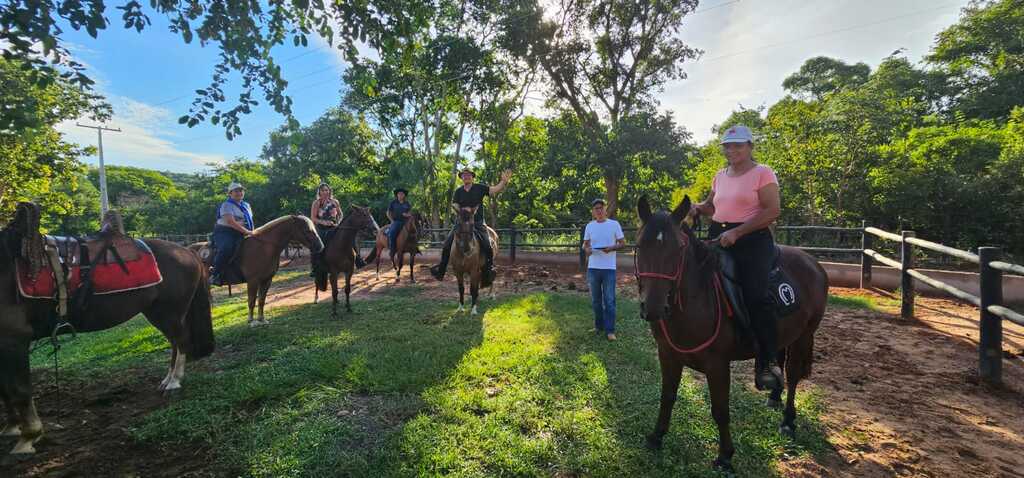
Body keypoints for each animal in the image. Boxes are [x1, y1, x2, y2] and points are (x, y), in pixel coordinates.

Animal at [0, 201, 216, 456]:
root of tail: (187, 251)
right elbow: (5, 391)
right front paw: (11, 427)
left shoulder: (14, 340)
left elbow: (19, 391)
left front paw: (28, 437)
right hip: (158, 313)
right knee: (175, 343)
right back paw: (167, 379)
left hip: (169, 313)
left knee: (180, 341)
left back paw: (174, 382)